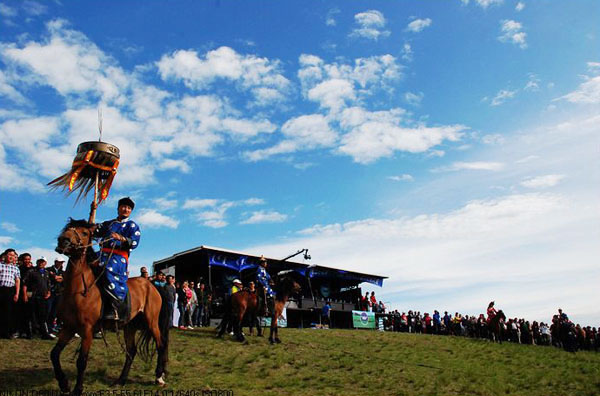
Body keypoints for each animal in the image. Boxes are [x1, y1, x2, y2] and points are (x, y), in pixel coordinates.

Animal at [51, 220, 171, 396]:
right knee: (131, 351)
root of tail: (152, 284)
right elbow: (54, 354)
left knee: (160, 345)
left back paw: (158, 377)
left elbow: (82, 361)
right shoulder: (68, 327)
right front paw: (64, 384)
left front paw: (77, 389)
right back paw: (121, 380)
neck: (78, 290)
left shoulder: (87, 330)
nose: (63, 241)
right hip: (130, 326)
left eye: (85, 233)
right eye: (67, 229)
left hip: (152, 322)